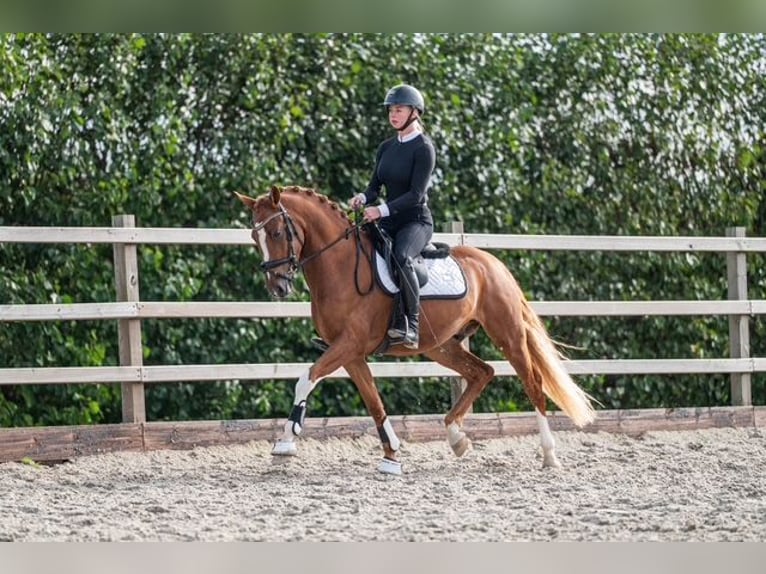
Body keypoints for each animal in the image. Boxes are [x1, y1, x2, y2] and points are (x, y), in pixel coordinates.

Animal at [236, 185, 596, 475]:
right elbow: (374, 402)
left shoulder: (348, 344)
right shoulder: (351, 354)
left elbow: (306, 379)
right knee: (482, 372)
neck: (340, 266)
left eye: (278, 233)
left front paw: (286, 442)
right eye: (255, 237)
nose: (278, 287)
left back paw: (549, 455)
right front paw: (392, 456)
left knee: (532, 383)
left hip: (507, 334)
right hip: (441, 345)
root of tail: (494, 264)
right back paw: (456, 438)